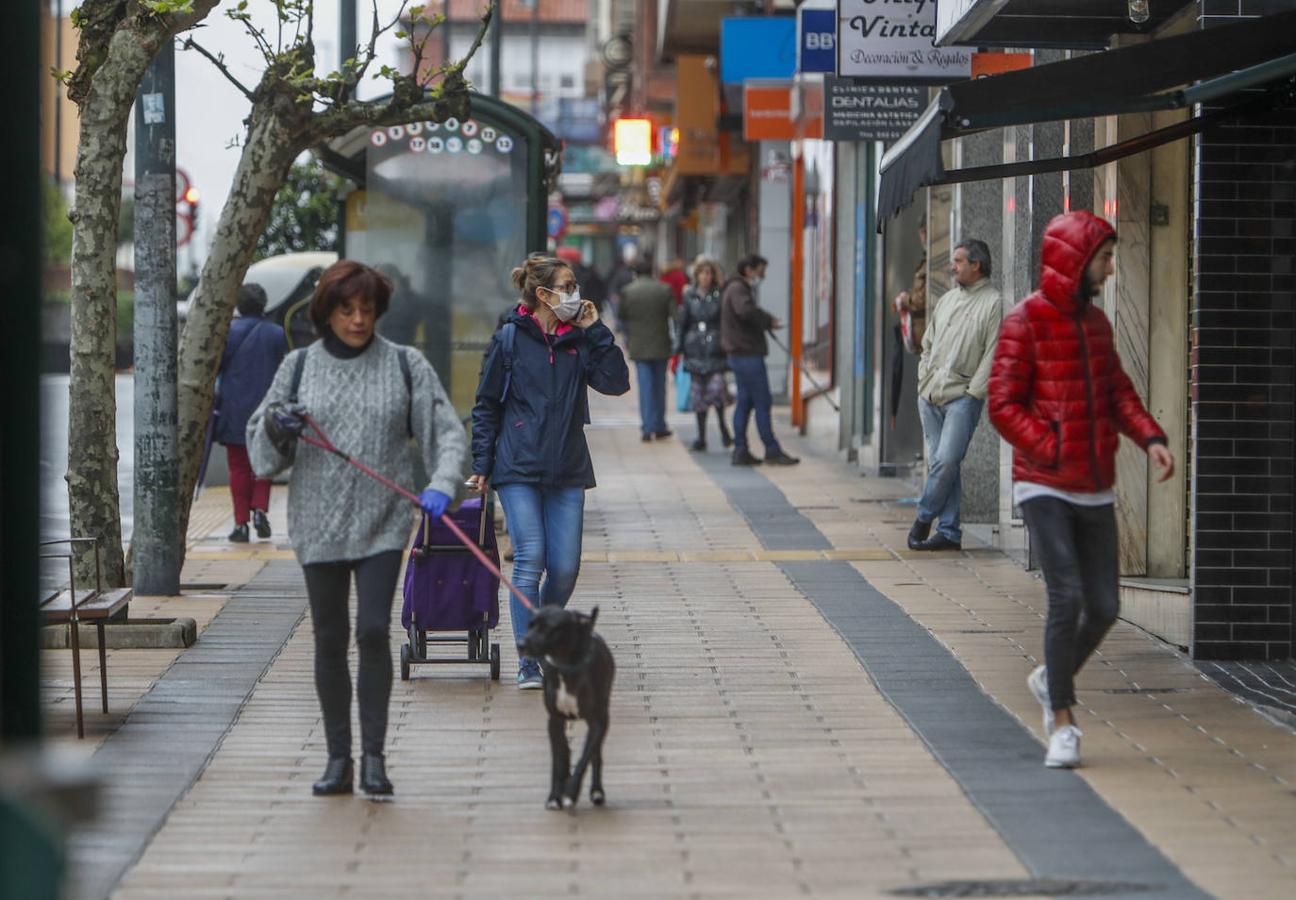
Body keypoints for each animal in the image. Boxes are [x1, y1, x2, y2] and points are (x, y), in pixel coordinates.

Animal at [515, 606, 611, 809]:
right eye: (530, 625)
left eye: (549, 628)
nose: (521, 644)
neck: (566, 666)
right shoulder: (554, 720)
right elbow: (558, 761)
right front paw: (554, 796)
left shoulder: (597, 721)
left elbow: (585, 758)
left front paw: (571, 792)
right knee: (565, 752)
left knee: (594, 753)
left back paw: (596, 791)